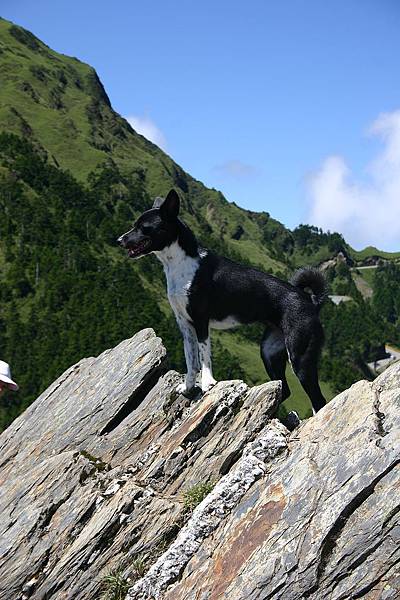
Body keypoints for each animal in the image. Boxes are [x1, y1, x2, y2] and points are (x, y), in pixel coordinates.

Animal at [116, 190, 328, 414]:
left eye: (143, 227)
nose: (119, 240)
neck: (180, 263)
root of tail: (311, 300)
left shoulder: (201, 321)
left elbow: (204, 356)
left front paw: (207, 383)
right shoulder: (185, 325)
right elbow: (191, 360)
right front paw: (189, 387)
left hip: (300, 357)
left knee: (318, 400)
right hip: (269, 351)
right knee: (284, 389)